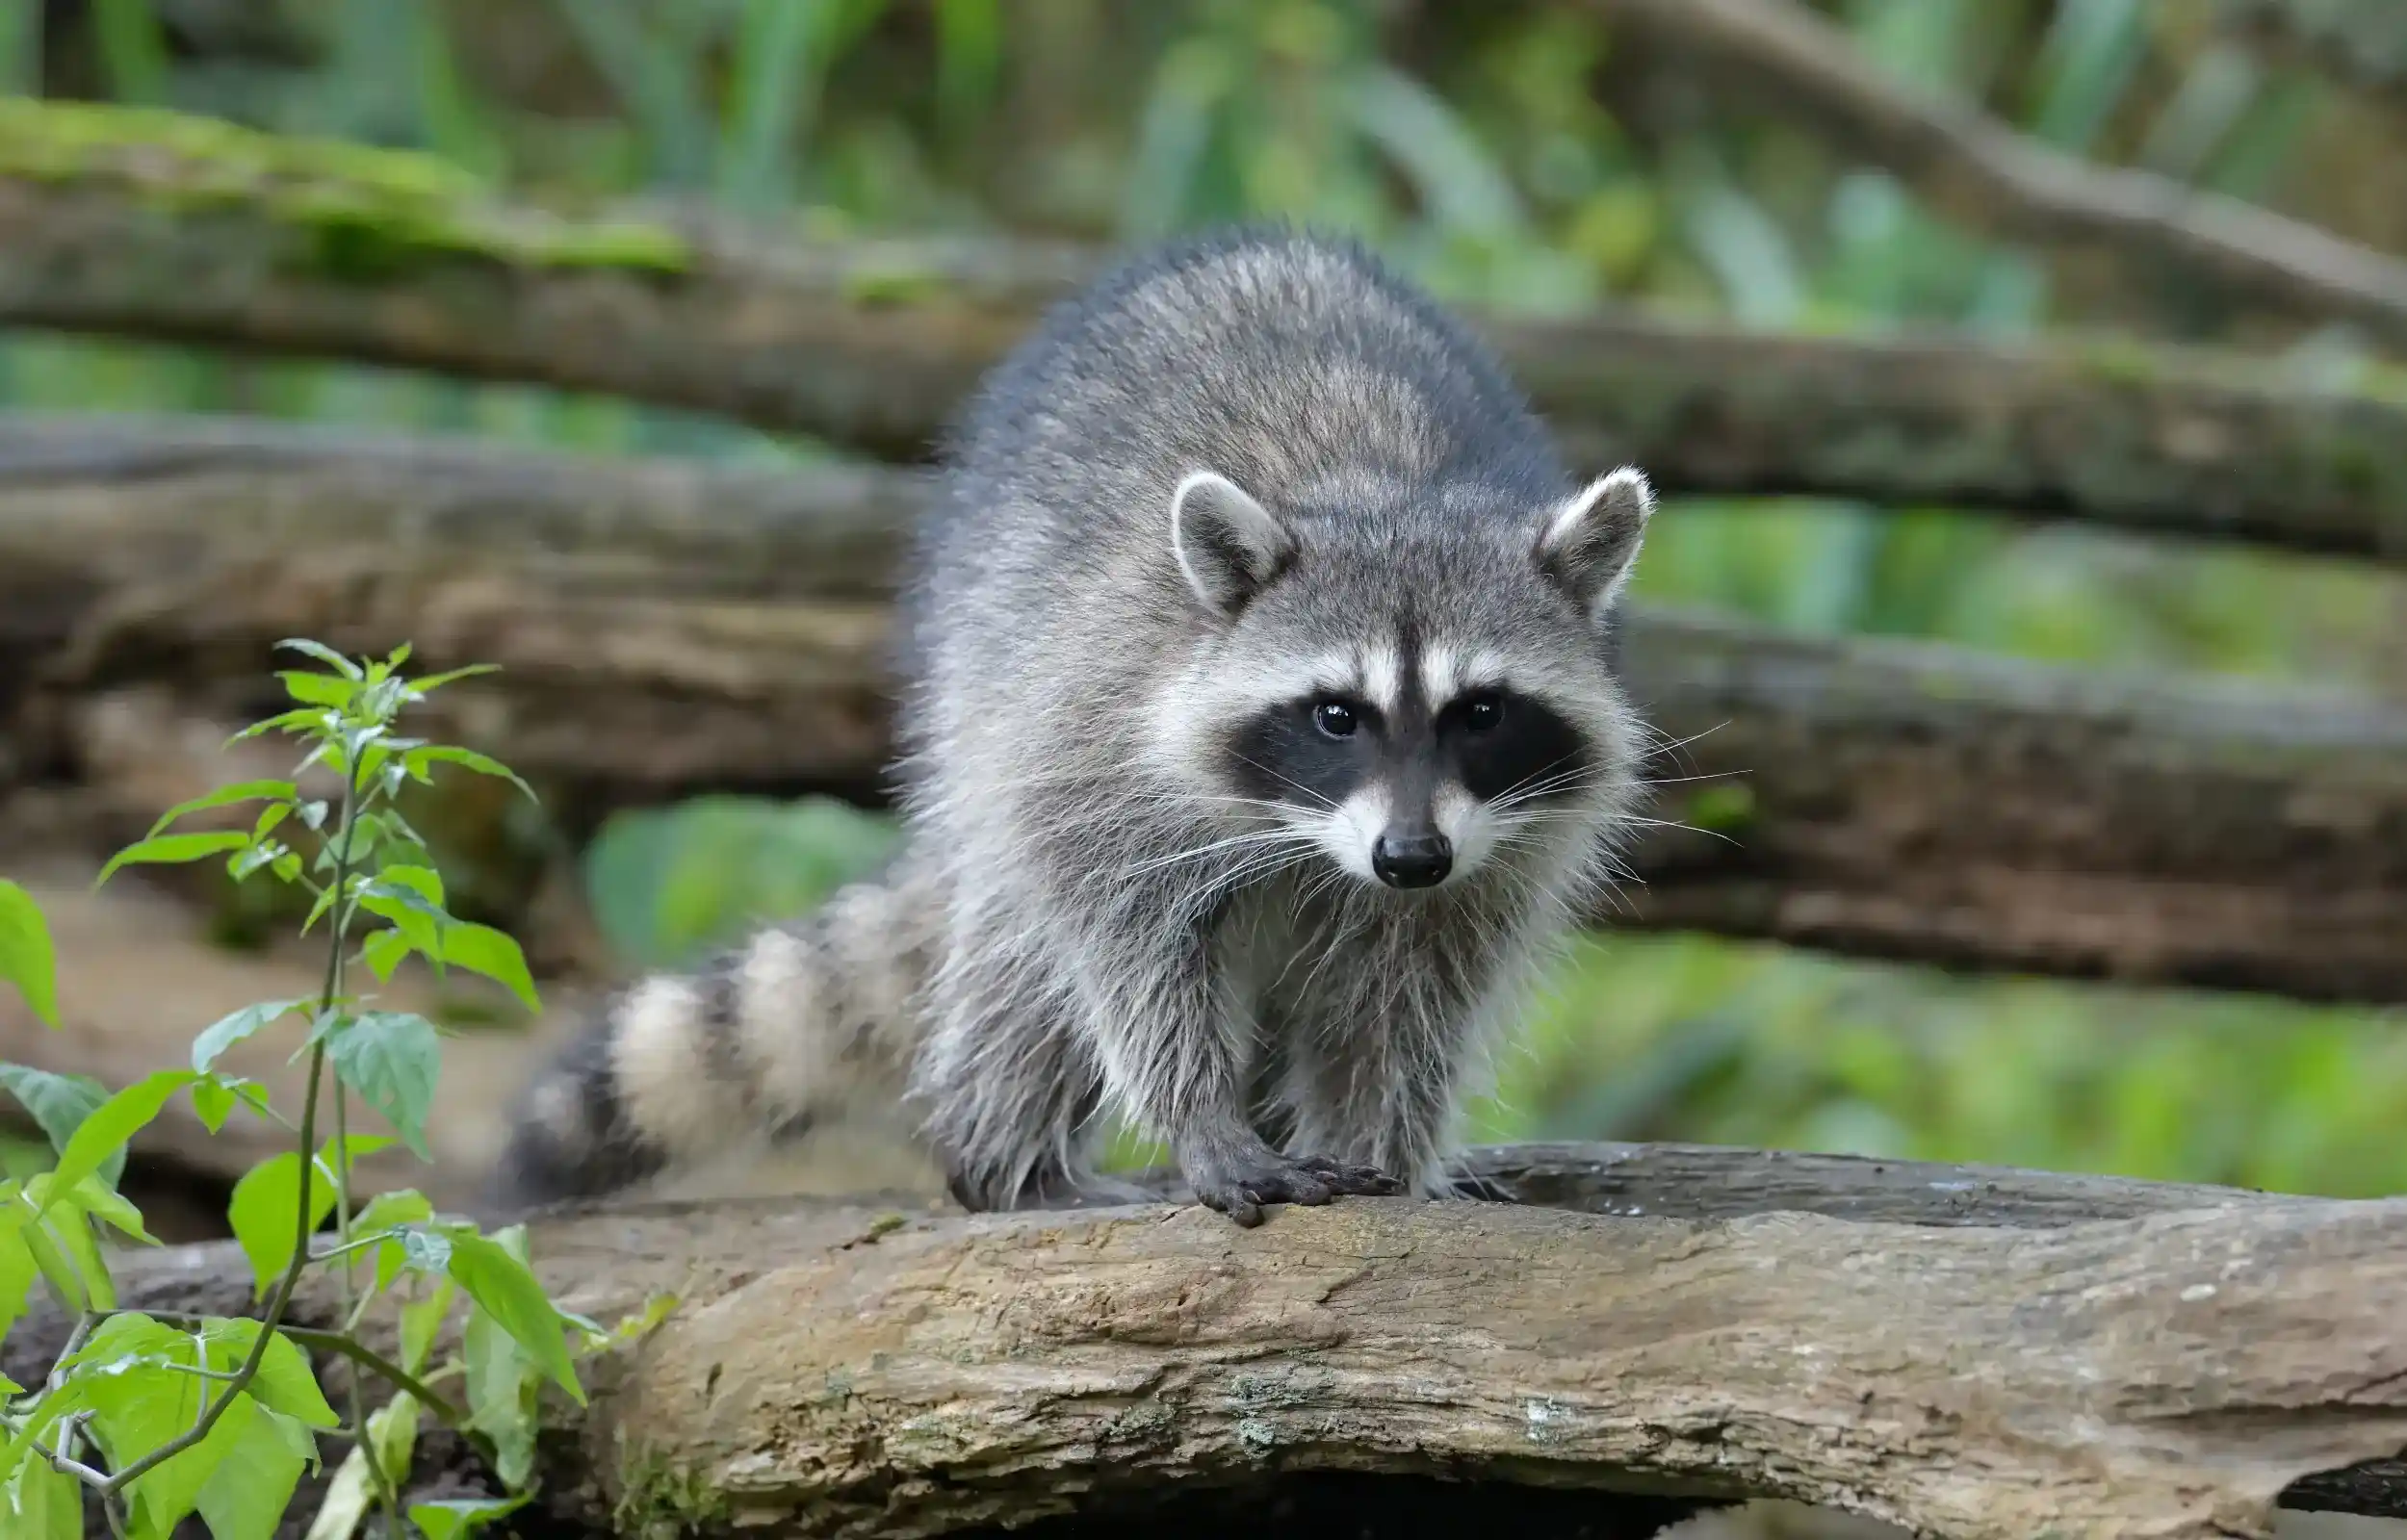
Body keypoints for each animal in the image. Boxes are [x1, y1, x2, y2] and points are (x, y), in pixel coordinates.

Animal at [495, 226, 1654, 1226]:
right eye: (1337, 715)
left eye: (1480, 712)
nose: (1408, 856)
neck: (1390, 495)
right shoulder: (1102, 725)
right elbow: (1118, 933)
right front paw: (1199, 1117)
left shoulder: (1500, 845)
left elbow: (1412, 997)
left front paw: (1387, 1150)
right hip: (981, 676)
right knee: (1022, 965)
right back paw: (1007, 1158)